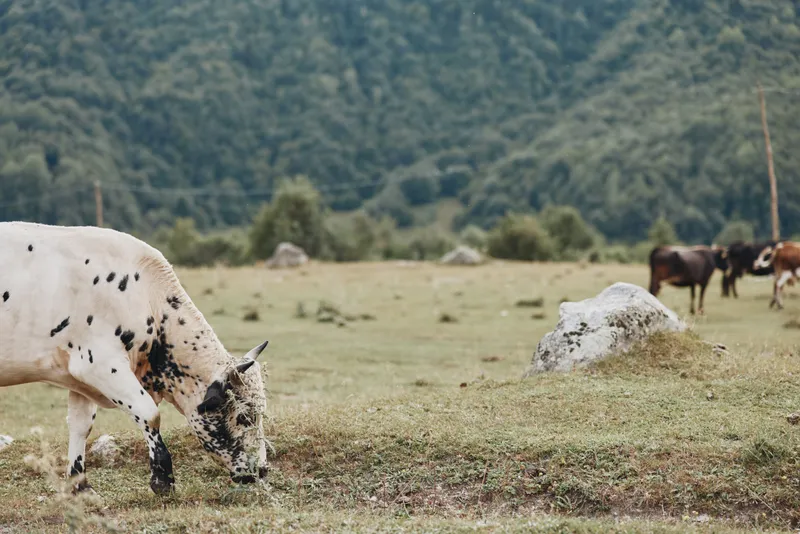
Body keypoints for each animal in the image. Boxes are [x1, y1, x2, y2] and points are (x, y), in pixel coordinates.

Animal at [0, 222, 270, 495]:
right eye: (245, 416)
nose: (262, 469)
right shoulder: (99, 364)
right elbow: (149, 413)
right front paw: (162, 479)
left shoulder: (77, 376)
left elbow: (81, 425)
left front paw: (81, 486)